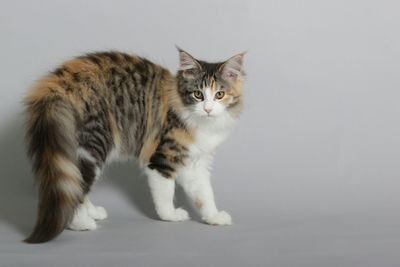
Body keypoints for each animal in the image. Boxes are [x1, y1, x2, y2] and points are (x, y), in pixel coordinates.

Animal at [25, 47, 245, 244]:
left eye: (219, 95)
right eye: (198, 94)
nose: (208, 109)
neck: (202, 124)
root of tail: (58, 82)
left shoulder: (197, 162)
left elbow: (204, 194)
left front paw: (214, 217)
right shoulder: (162, 158)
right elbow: (165, 193)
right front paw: (170, 215)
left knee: (74, 184)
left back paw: (93, 212)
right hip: (93, 145)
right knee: (76, 187)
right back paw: (80, 223)